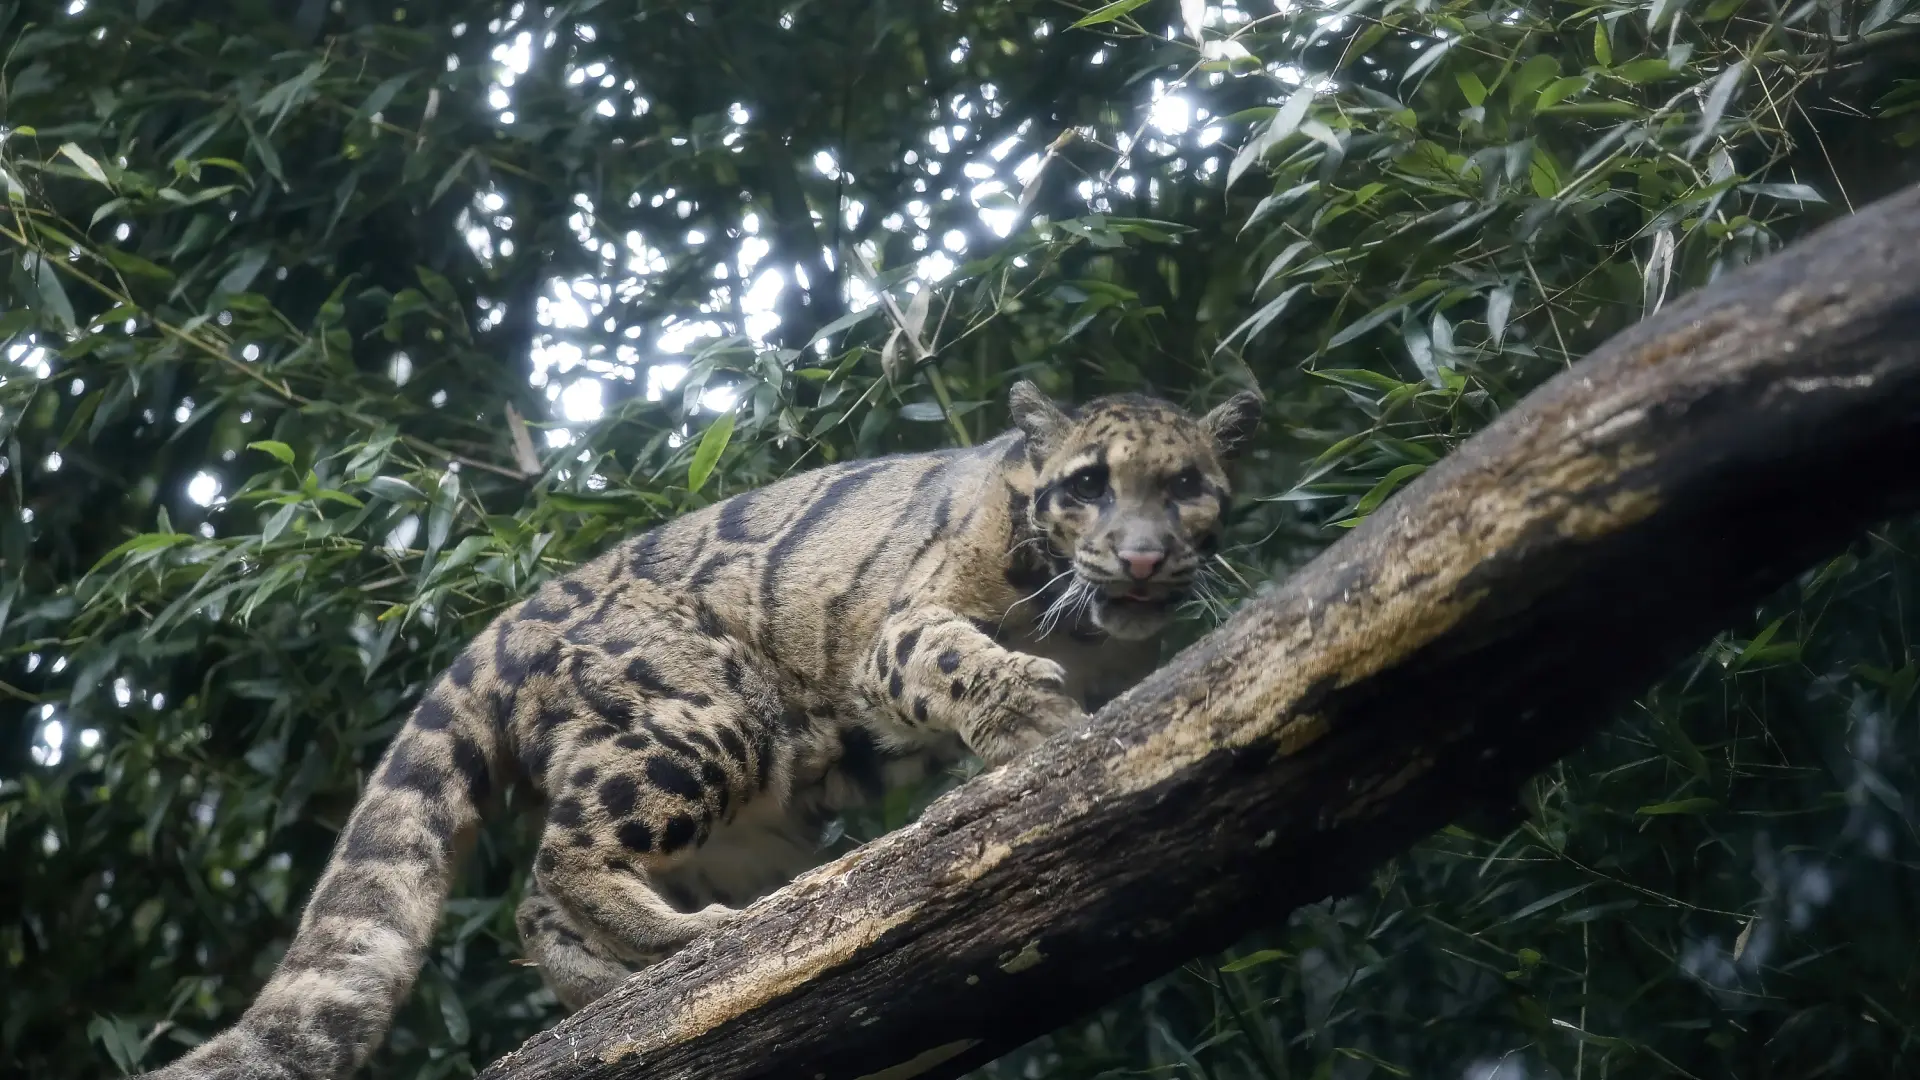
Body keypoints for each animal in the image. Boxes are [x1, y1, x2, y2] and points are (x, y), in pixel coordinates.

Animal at [139, 379, 1263, 1080]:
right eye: (1088, 483)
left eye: (1186, 488)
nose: (1144, 557)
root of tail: (508, 617)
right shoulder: (900, 630)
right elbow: (964, 662)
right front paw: (1038, 719)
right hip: (706, 724)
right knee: (560, 861)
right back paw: (686, 940)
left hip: (753, 811)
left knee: (541, 907)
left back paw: (631, 981)